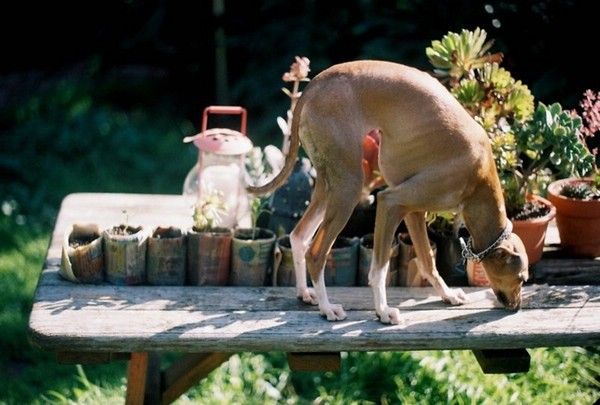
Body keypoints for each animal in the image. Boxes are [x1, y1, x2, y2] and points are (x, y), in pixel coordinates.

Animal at [246, 60, 528, 326]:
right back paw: (328, 309)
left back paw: (305, 294)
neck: (480, 176)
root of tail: (315, 84)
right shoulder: (391, 202)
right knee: (316, 254)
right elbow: (379, 269)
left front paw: (447, 295)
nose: (516, 308)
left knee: (299, 236)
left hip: (329, 187)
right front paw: (383, 312)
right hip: (349, 188)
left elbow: (427, 260)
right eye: (522, 278)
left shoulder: (412, 211)